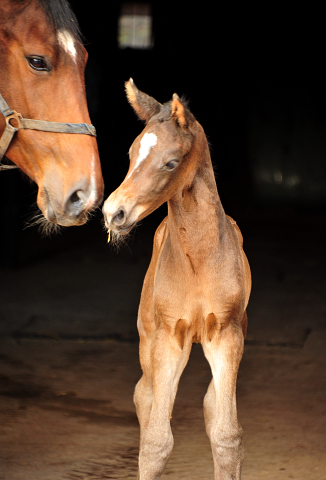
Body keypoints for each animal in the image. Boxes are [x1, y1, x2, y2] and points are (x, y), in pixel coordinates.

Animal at [103, 79, 251, 480]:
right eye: (131, 153)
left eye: (170, 162)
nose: (112, 212)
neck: (198, 259)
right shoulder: (169, 337)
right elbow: (156, 442)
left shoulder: (226, 335)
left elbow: (226, 435)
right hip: (148, 339)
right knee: (144, 396)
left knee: (211, 404)